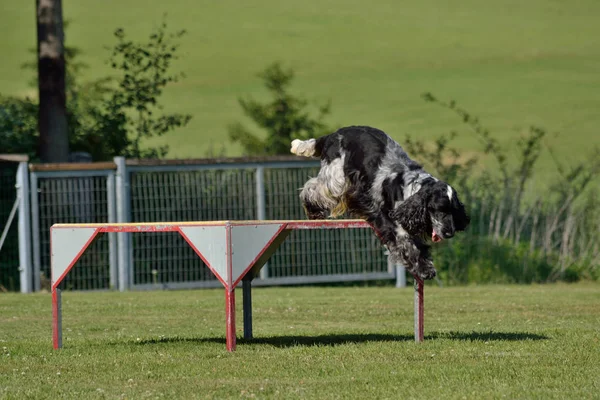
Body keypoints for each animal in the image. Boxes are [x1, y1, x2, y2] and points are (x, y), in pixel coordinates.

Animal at [290, 126, 468, 280]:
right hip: (336, 179)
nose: (449, 232)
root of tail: (334, 134)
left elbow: (417, 244)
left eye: (454, 211)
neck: (409, 186)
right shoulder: (388, 219)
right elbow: (407, 243)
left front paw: (425, 266)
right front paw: (424, 269)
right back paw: (313, 211)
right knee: (312, 188)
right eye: (439, 209)